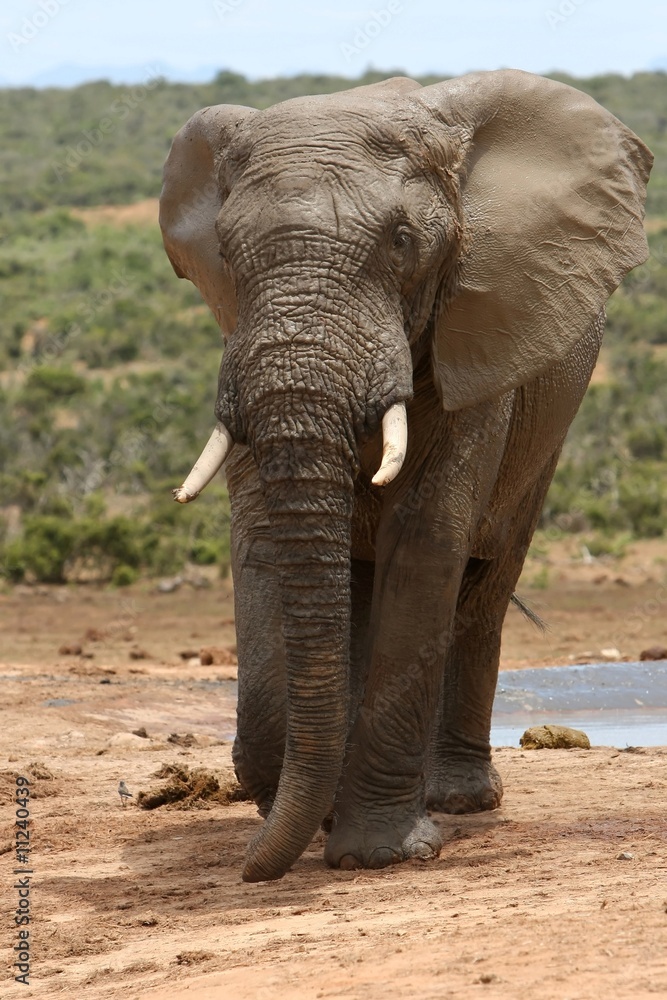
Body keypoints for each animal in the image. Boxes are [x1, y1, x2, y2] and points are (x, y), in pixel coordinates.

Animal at [159, 70, 652, 882]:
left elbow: (423, 544)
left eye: (401, 242)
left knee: (483, 586)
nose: (248, 871)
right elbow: (262, 541)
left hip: (551, 424)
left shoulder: (478, 352)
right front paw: (306, 813)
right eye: (225, 252)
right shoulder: (240, 353)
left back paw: (455, 800)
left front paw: (378, 854)